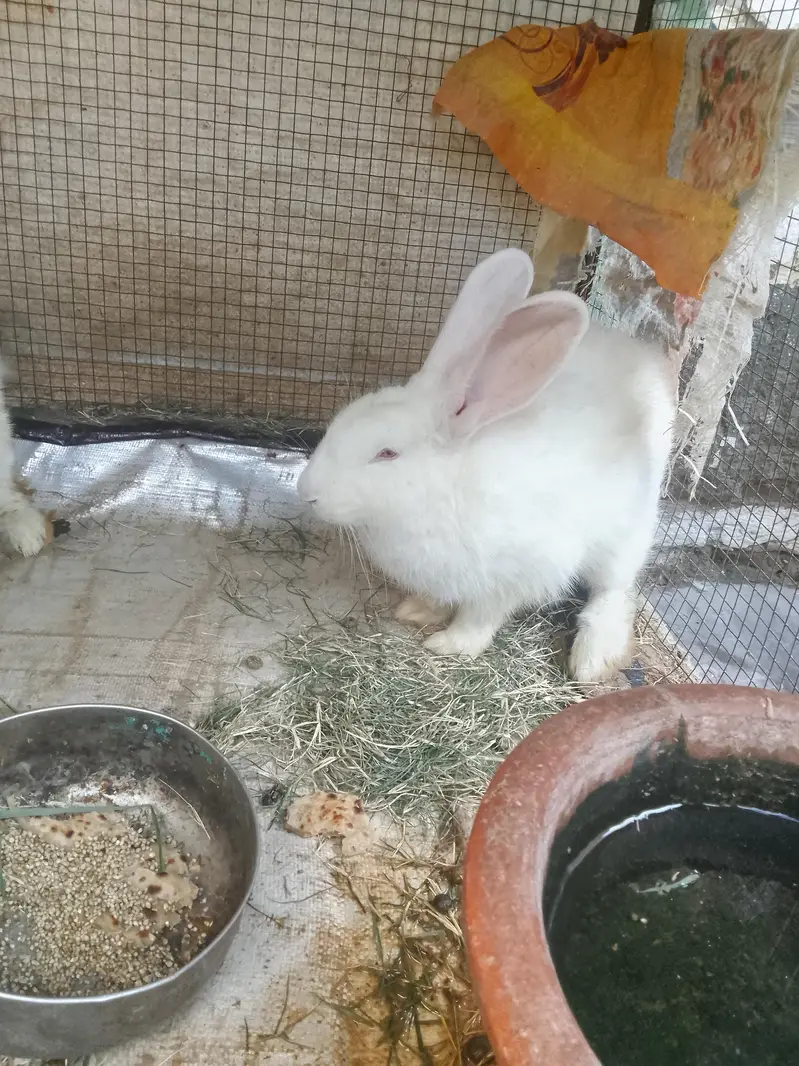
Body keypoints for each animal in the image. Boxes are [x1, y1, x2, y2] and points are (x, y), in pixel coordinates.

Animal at [296, 248, 675, 682]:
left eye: (387, 454)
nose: (305, 491)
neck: (442, 489)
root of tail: (648, 362)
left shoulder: (516, 576)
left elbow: (482, 616)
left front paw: (451, 645)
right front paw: (417, 610)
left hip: (626, 533)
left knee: (613, 589)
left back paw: (593, 659)